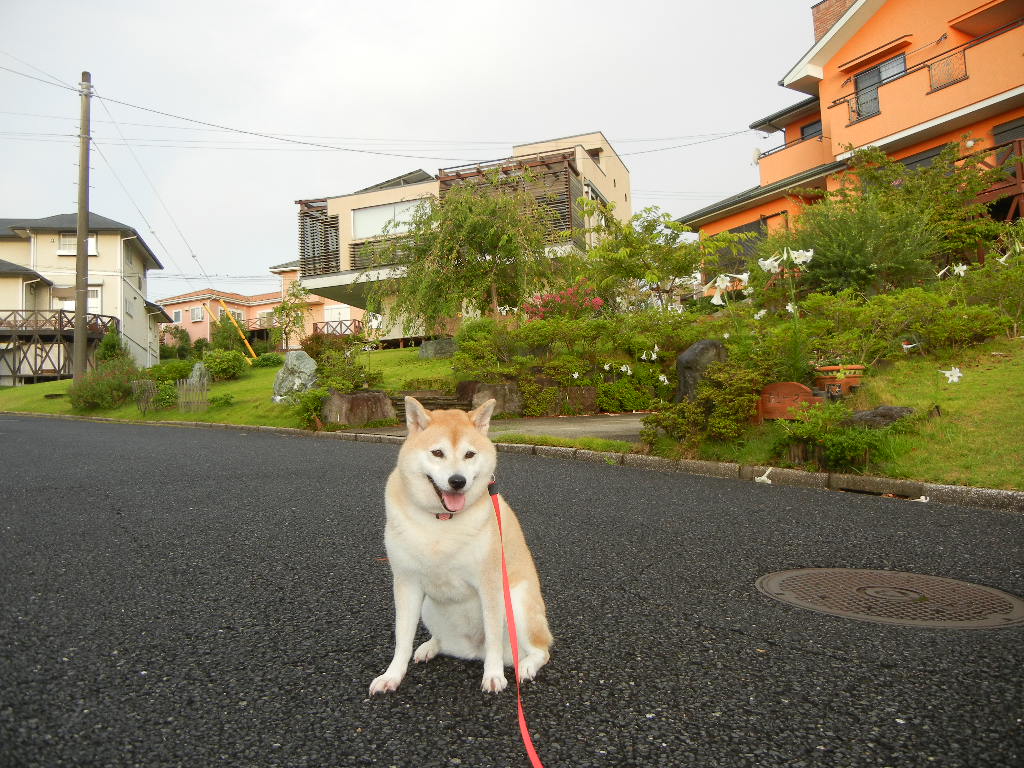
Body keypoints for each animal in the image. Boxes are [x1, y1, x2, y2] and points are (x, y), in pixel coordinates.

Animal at [370, 397, 552, 696]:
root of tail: (473, 650)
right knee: (442, 639)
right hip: (428, 607)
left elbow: (492, 635)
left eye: (469, 455)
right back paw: (430, 646)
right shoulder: (406, 582)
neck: (441, 521)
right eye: (437, 453)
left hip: (516, 602)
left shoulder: (490, 583)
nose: (458, 481)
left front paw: (493, 675)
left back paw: (525, 666)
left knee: (540, 650)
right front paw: (392, 675)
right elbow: (402, 638)